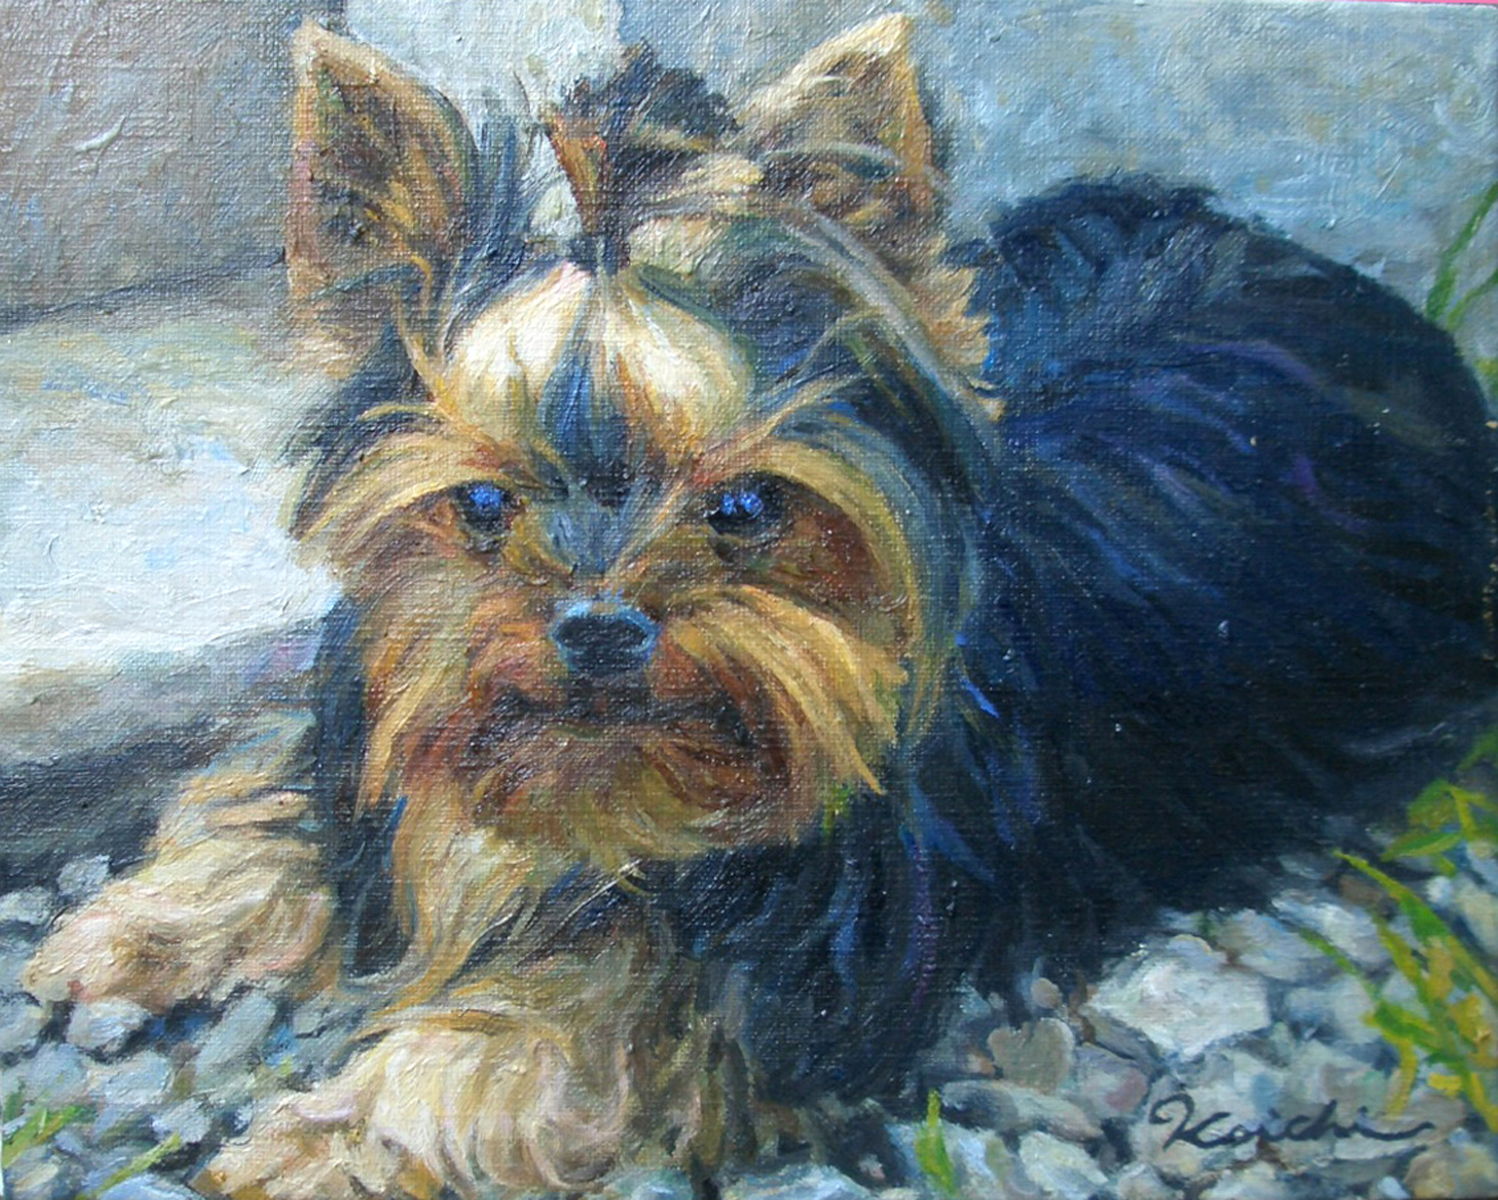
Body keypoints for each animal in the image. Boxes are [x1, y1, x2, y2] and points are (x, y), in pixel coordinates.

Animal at [25, 15, 1495, 1198]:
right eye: (482, 505)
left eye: (743, 511)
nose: (599, 627)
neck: (608, 799)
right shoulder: (387, 733)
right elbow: (286, 799)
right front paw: (134, 924)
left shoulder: (785, 975)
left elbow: (557, 1021)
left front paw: (343, 1133)